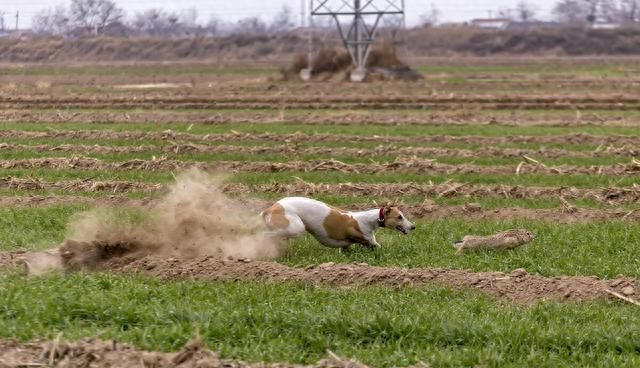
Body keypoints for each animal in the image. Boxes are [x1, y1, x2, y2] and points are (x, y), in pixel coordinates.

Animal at [260, 196, 416, 250]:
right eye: (399, 217)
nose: (413, 227)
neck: (368, 219)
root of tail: (271, 208)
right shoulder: (369, 241)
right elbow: (378, 247)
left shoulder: (346, 246)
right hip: (296, 227)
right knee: (267, 234)